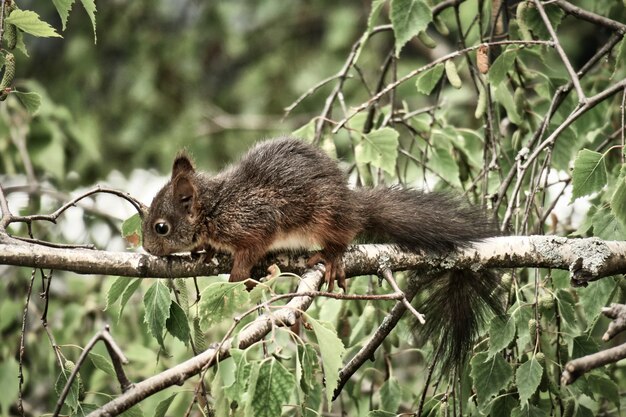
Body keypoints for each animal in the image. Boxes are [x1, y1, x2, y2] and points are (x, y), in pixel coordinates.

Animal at [141, 137, 502, 370]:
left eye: (161, 228)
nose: (146, 248)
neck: (215, 208)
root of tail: (352, 202)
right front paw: (203, 252)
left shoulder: (257, 219)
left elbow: (250, 251)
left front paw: (238, 275)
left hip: (325, 216)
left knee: (343, 235)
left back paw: (331, 257)